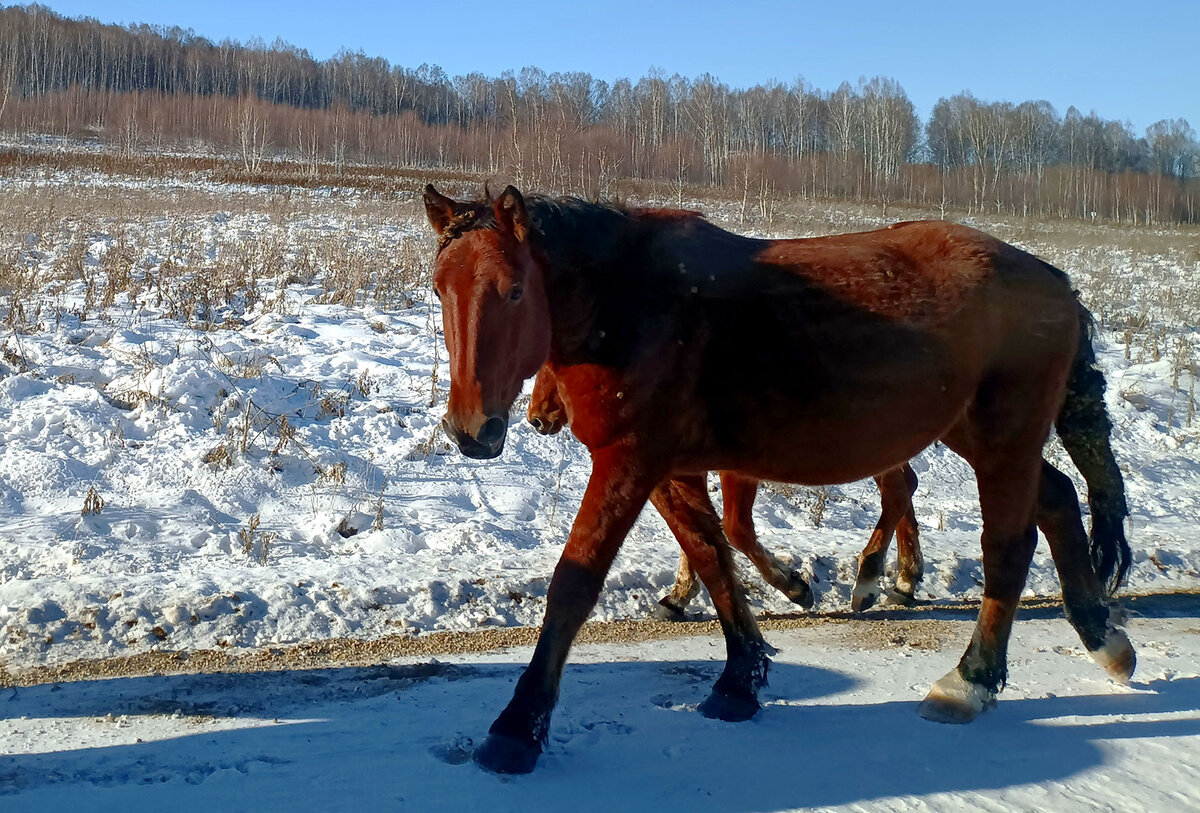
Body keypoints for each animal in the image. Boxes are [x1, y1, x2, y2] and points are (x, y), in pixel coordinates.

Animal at [525, 366, 916, 613]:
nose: (537, 418)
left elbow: (733, 529)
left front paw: (795, 586)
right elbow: (697, 532)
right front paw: (680, 595)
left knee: (898, 486)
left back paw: (871, 580)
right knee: (904, 485)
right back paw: (904, 581)